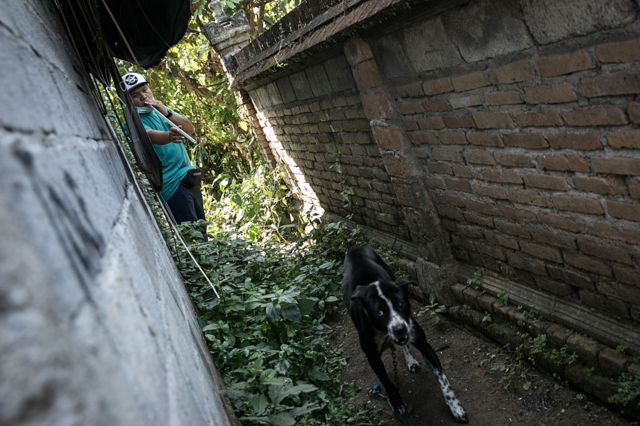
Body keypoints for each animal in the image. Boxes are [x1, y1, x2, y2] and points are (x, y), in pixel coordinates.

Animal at [340, 246, 470, 422]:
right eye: (379, 313)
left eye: (401, 304)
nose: (399, 329)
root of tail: (355, 249)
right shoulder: (373, 358)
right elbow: (387, 382)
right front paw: (397, 403)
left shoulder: (423, 344)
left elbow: (443, 380)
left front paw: (455, 407)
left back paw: (410, 360)